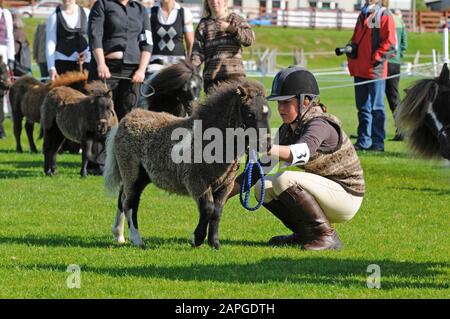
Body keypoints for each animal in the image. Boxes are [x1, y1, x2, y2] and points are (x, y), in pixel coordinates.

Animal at [103, 80, 270, 250]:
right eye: (250, 114)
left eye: (268, 114)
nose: (267, 145)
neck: (209, 141)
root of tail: (125, 120)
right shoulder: (196, 182)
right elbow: (208, 208)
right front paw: (196, 239)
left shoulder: (225, 185)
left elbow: (217, 211)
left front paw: (214, 243)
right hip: (132, 173)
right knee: (131, 202)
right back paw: (136, 239)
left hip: (138, 176)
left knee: (122, 198)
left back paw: (119, 235)